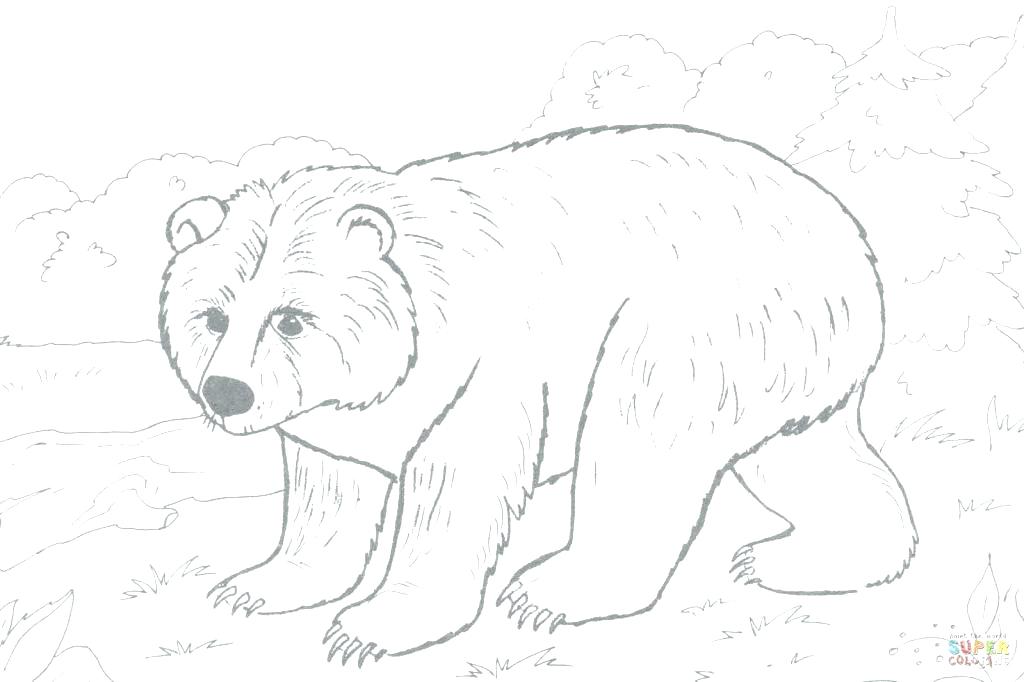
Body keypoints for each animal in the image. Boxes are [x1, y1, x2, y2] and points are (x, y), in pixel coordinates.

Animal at [159, 124, 917, 666]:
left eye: (290, 317)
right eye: (214, 316)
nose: (227, 392)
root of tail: (845, 235)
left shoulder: (483, 368)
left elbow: (460, 486)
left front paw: (370, 628)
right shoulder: (342, 418)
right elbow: (329, 492)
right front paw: (256, 584)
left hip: (690, 322)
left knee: (638, 441)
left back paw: (553, 590)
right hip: (780, 356)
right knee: (807, 454)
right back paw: (799, 556)